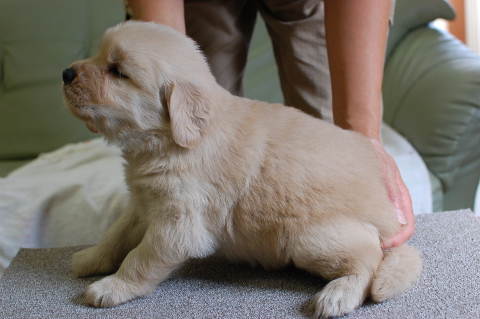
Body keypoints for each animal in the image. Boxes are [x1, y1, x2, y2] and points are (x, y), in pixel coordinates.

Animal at [62, 21, 422, 318]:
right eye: (99, 56)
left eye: (118, 72)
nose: (66, 73)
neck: (169, 139)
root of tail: (388, 216)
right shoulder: (142, 203)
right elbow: (115, 234)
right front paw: (91, 258)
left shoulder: (178, 223)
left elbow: (140, 257)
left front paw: (112, 286)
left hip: (309, 238)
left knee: (370, 257)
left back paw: (338, 295)